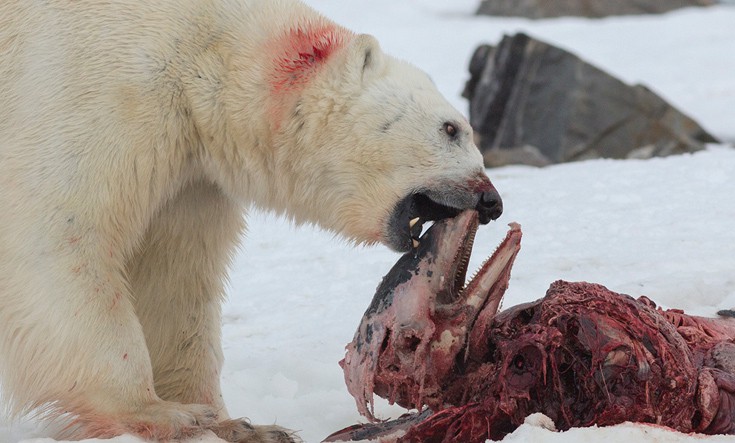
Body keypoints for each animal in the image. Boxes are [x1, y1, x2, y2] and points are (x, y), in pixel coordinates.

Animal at [0, 0, 500, 440]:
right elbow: (61, 234)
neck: (203, 49)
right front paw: (160, 413)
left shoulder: (191, 174)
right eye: (452, 128)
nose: (492, 200)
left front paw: (240, 425)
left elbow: (173, 276)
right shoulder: (91, 89)